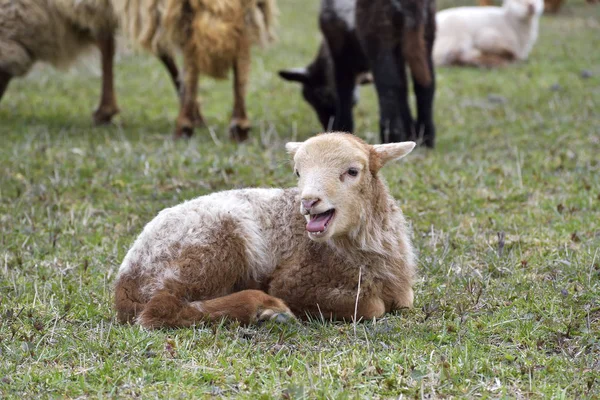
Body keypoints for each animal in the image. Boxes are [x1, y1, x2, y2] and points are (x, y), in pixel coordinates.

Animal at [116, 133, 418, 326]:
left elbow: (405, 300)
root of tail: (124, 280)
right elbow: (372, 307)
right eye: (298, 172)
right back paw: (265, 308)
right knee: (159, 310)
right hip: (210, 247)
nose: (308, 201)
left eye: (352, 171)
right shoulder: (294, 282)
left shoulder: (401, 288)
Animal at [278, 0, 438, 148]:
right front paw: (412, 132)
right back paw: (427, 139)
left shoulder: (339, 49)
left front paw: (341, 132)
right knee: (425, 84)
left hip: (377, 28)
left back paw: (391, 136)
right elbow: (403, 89)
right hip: (427, 28)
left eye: (317, 97)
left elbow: (344, 90)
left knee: (388, 85)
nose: (327, 127)